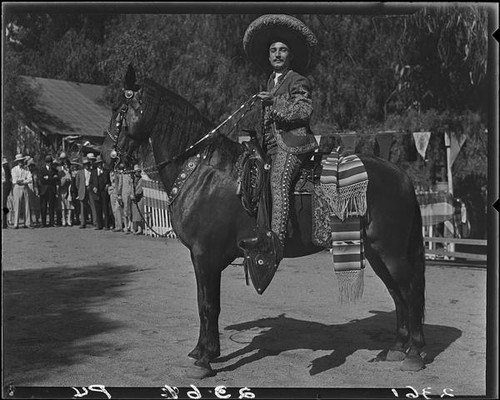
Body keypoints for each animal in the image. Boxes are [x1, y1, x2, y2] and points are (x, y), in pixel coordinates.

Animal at [101, 66, 426, 378]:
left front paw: (205, 360)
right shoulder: (203, 258)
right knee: (397, 294)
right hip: (375, 253)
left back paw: (414, 355)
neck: (202, 171)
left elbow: (208, 305)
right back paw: (397, 348)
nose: (106, 156)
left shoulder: (205, 256)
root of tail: (402, 176)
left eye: (120, 108)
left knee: (410, 291)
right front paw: (202, 351)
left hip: (390, 251)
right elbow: (204, 303)